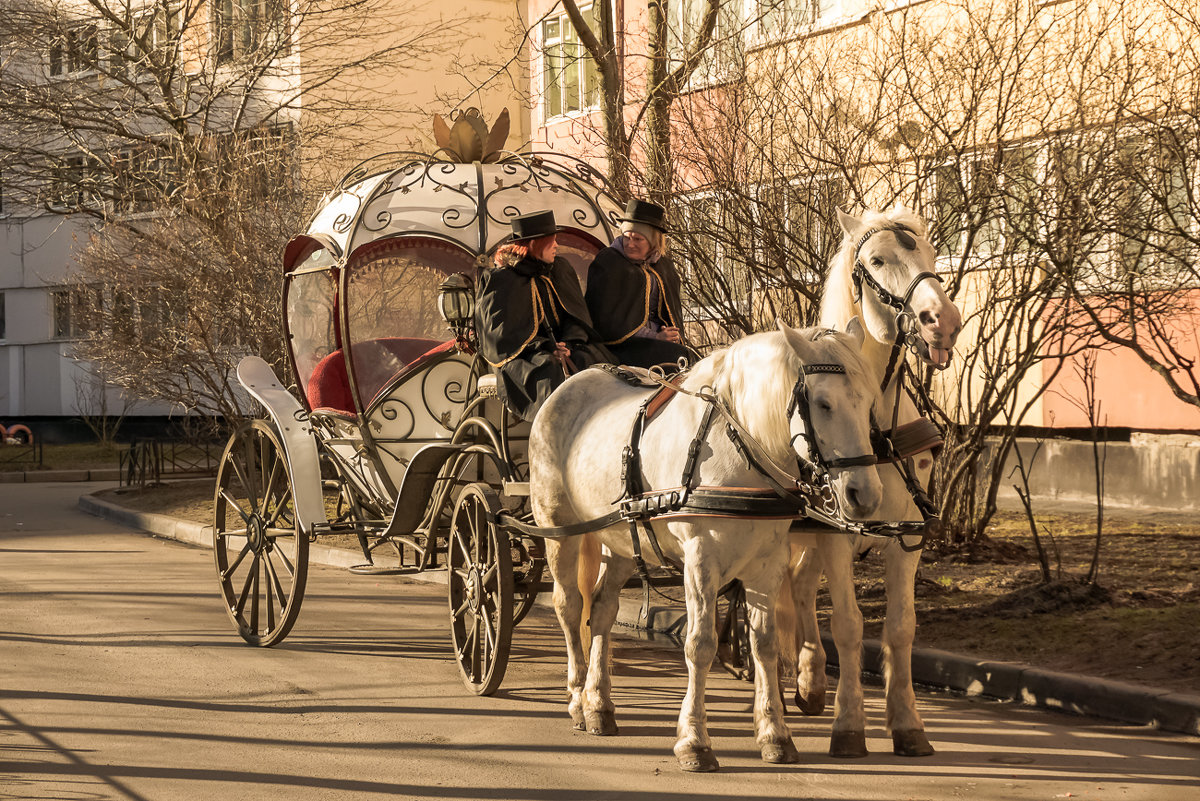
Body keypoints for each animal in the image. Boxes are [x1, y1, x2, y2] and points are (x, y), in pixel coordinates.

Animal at [532, 321, 883, 772]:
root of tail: (571, 383)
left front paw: (775, 733)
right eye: (823, 403)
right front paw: (694, 741)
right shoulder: (700, 559)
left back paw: (599, 705)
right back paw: (577, 697)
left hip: (622, 540)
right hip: (560, 528)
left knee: (603, 610)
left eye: (870, 402)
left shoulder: (767, 563)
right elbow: (699, 645)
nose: (865, 495)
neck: (740, 446)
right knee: (570, 606)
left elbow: (764, 643)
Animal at [777, 206, 964, 757]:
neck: (874, 427)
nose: (943, 321)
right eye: (877, 260)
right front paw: (849, 725)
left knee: (798, 586)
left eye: (931, 251)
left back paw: (810, 682)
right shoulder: (838, 535)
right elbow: (849, 624)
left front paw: (907, 724)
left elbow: (901, 627)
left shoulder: (907, 536)